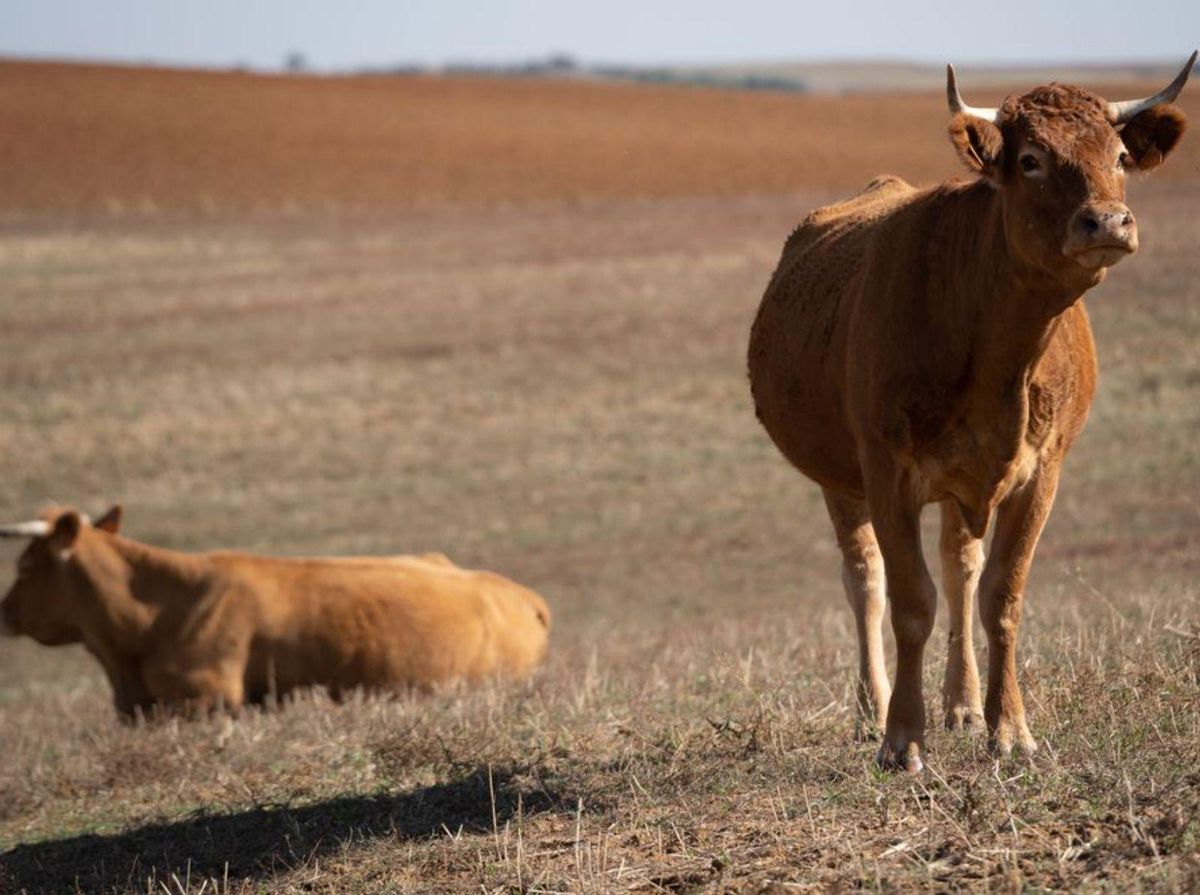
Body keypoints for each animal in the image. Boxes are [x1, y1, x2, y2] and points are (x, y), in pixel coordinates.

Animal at [748, 53, 1190, 767]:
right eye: (1032, 160)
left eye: (1120, 155)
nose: (1108, 222)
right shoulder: (886, 472)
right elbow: (910, 602)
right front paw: (902, 736)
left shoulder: (1041, 473)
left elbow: (999, 595)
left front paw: (1007, 727)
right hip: (840, 479)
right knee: (864, 580)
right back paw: (871, 710)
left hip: (962, 486)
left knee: (961, 570)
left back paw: (961, 703)